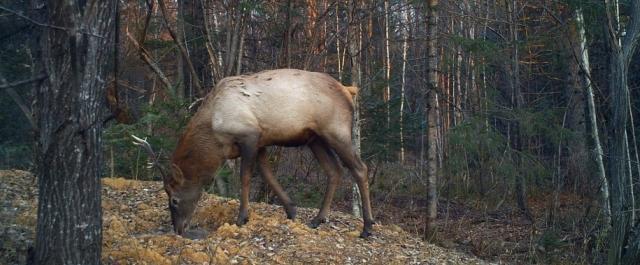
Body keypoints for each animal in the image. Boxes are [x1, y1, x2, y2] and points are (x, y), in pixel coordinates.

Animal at [135, 68, 376, 237]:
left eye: (174, 199)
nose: (178, 229)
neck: (215, 136)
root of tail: (349, 90)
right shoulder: (261, 143)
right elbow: (268, 175)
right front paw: (291, 210)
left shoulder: (249, 136)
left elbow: (245, 177)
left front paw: (242, 217)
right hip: (315, 138)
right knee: (334, 170)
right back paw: (318, 219)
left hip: (336, 130)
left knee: (360, 168)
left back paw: (367, 227)